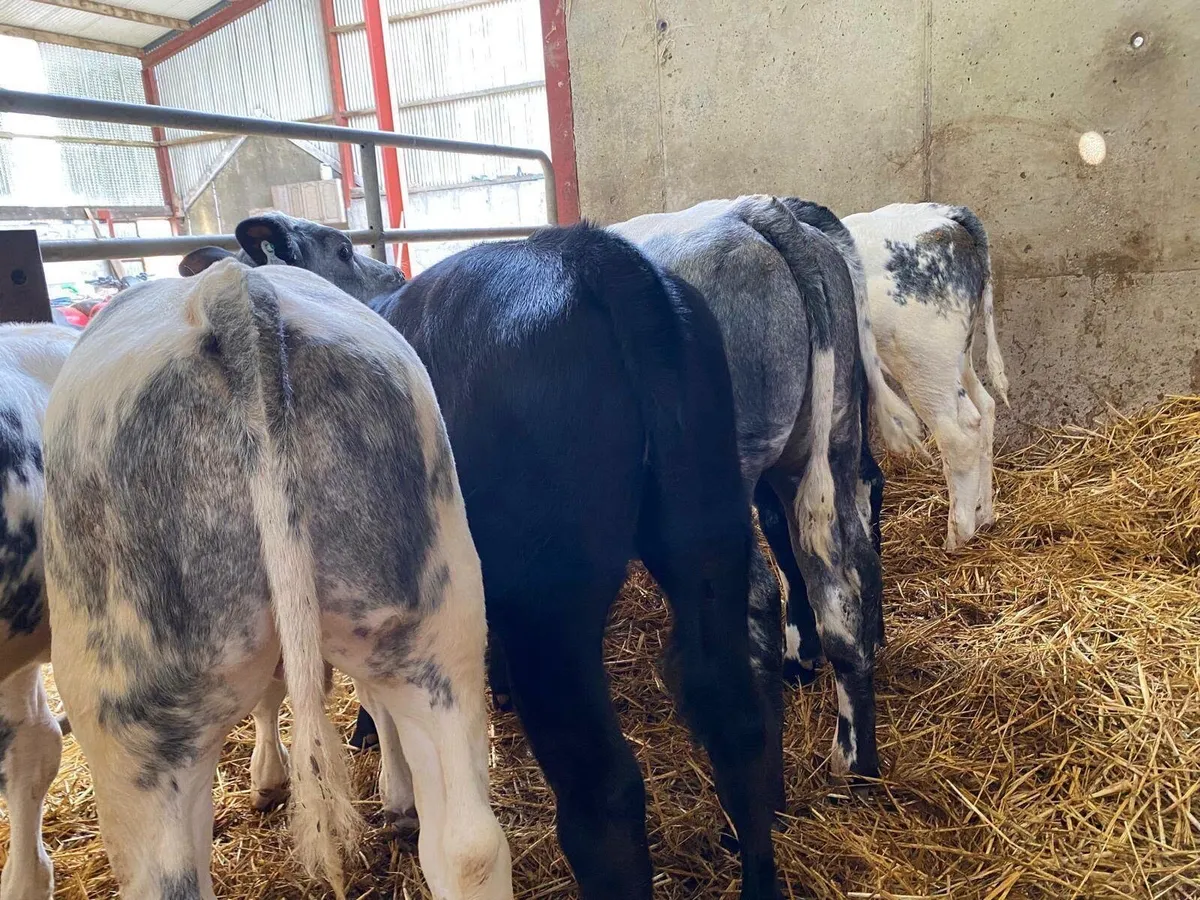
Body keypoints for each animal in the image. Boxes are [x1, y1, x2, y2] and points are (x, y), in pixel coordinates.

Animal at [41, 261, 511, 900]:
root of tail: (230, 290)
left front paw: (269, 777)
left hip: (130, 716)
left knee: (166, 876)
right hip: (437, 629)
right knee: (469, 848)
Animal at [184, 219, 785, 899]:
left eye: (341, 246)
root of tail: (588, 253)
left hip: (548, 602)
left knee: (604, 791)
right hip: (708, 533)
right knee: (736, 719)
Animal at [832, 203, 1009, 550]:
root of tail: (948, 215)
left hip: (923, 361)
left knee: (959, 434)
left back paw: (957, 533)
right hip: (955, 356)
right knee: (984, 407)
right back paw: (984, 514)